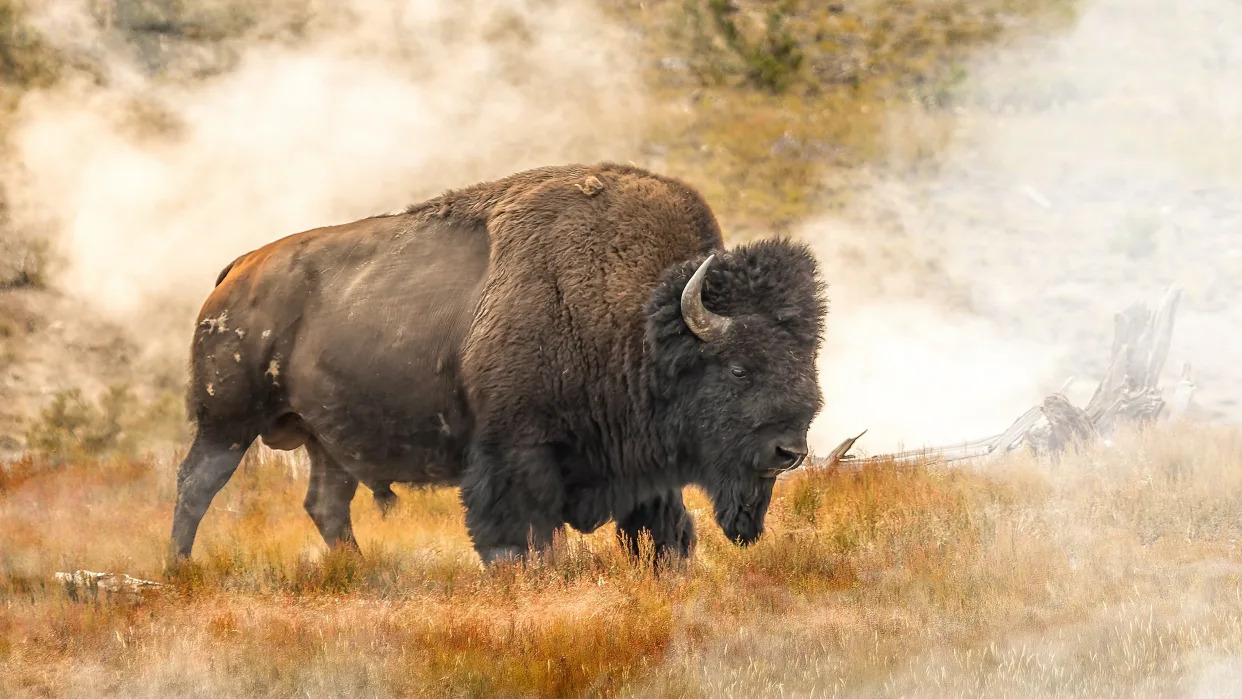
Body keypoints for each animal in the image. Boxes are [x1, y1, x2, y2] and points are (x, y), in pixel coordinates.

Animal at [167, 161, 824, 566]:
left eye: (807, 358)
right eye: (738, 368)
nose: (789, 451)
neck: (634, 316)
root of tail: (238, 270)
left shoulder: (643, 473)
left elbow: (665, 534)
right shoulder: (516, 453)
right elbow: (521, 536)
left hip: (326, 441)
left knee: (326, 504)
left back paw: (357, 569)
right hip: (227, 423)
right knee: (196, 485)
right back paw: (179, 569)